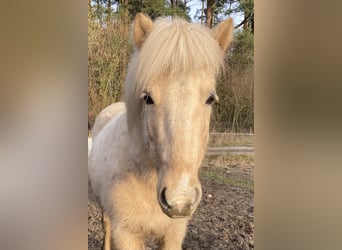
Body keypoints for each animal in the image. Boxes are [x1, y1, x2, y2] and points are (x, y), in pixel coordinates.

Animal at [87, 13, 235, 250]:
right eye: (148, 97)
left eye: (210, 98)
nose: (179, 199)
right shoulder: (126, 233)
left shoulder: (174, 233)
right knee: (106, 225)